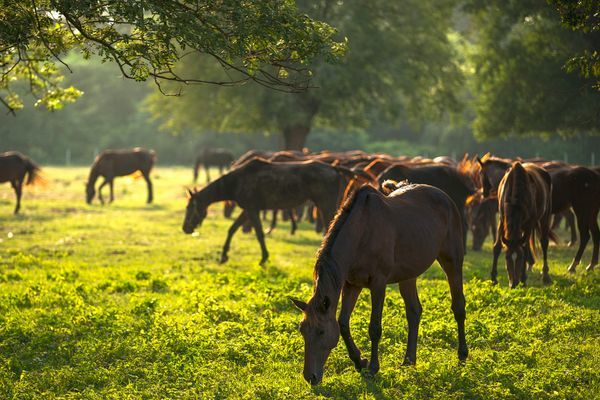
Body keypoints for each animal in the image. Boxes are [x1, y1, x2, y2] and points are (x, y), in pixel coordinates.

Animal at [180, 158, 372, 264]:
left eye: (190, 207)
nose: (185, 229)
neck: (238, 180)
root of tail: (334, 168)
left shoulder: (252, 210)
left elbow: (259, 234)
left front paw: (264, 258)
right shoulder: (248, 210)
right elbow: (232, 229)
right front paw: (224, 256)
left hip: (326, 205)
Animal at [292, 184, 468, 384]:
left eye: (321, 332)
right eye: (302, 330)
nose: (310, 377)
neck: (361, 232)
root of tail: (445, 197)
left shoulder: (378, 284)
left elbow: (374, 328)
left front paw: (373, 367)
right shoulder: (352, 285)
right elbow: (343, 323)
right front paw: (359, 361)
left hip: (452, 261)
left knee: (458, 307)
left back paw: (462, 355)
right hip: (408, 275)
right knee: (414, 312)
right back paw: (409, 361)